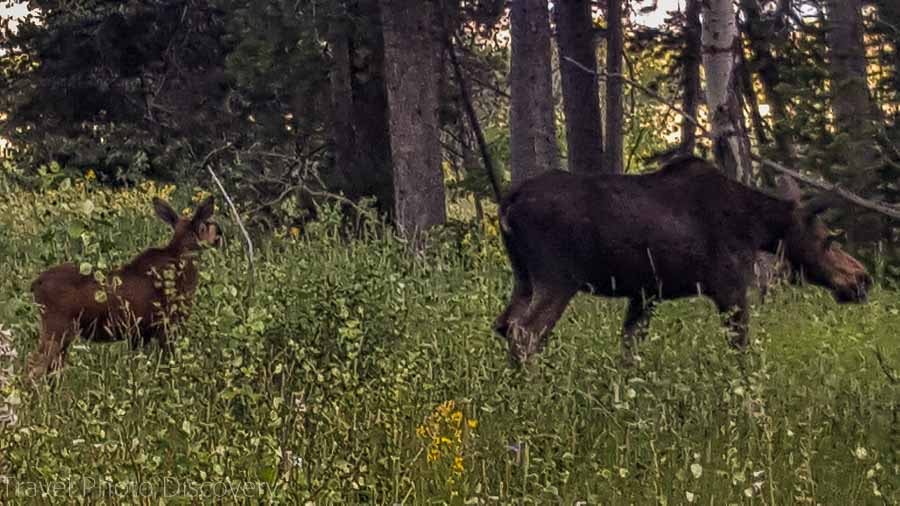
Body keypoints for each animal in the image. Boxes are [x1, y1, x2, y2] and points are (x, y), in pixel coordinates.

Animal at [25, 198, 222, 380]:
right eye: (205, 226)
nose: (219, 233)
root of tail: (34, 284)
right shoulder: (167, 326)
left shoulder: (140, 334)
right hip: (56, 327)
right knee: (33, 368)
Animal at [492, 156, 872, 366]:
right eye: (828, 240)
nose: (863, 279)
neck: (756, 227)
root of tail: (509, 201)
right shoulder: (730, 288)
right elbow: (741, 353)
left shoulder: (645, 293)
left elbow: (628, 354)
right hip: (557, 278)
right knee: (525, 334)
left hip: (523, 277)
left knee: (504, 325)